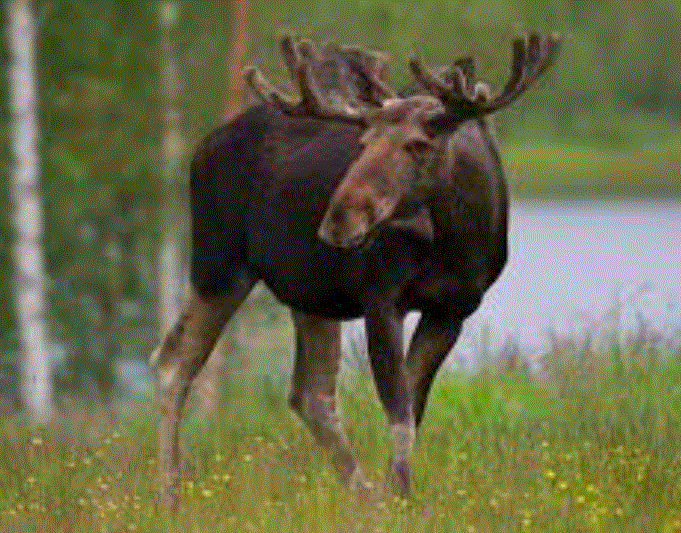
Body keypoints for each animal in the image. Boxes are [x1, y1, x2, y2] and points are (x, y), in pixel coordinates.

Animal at [151, 34, 560, 502]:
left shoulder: (453, 310)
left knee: (310, 394)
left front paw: (396, 494)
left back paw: (364, 496)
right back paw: (168, 495)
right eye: (361, 144)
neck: (460, 240)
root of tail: (200, 148)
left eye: (419, 144)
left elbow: (413, 408)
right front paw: (401, 497)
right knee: (172, 362)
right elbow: (398, 414)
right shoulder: (380, 297)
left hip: (307, 291)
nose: (337, 221)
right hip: (219, 265)